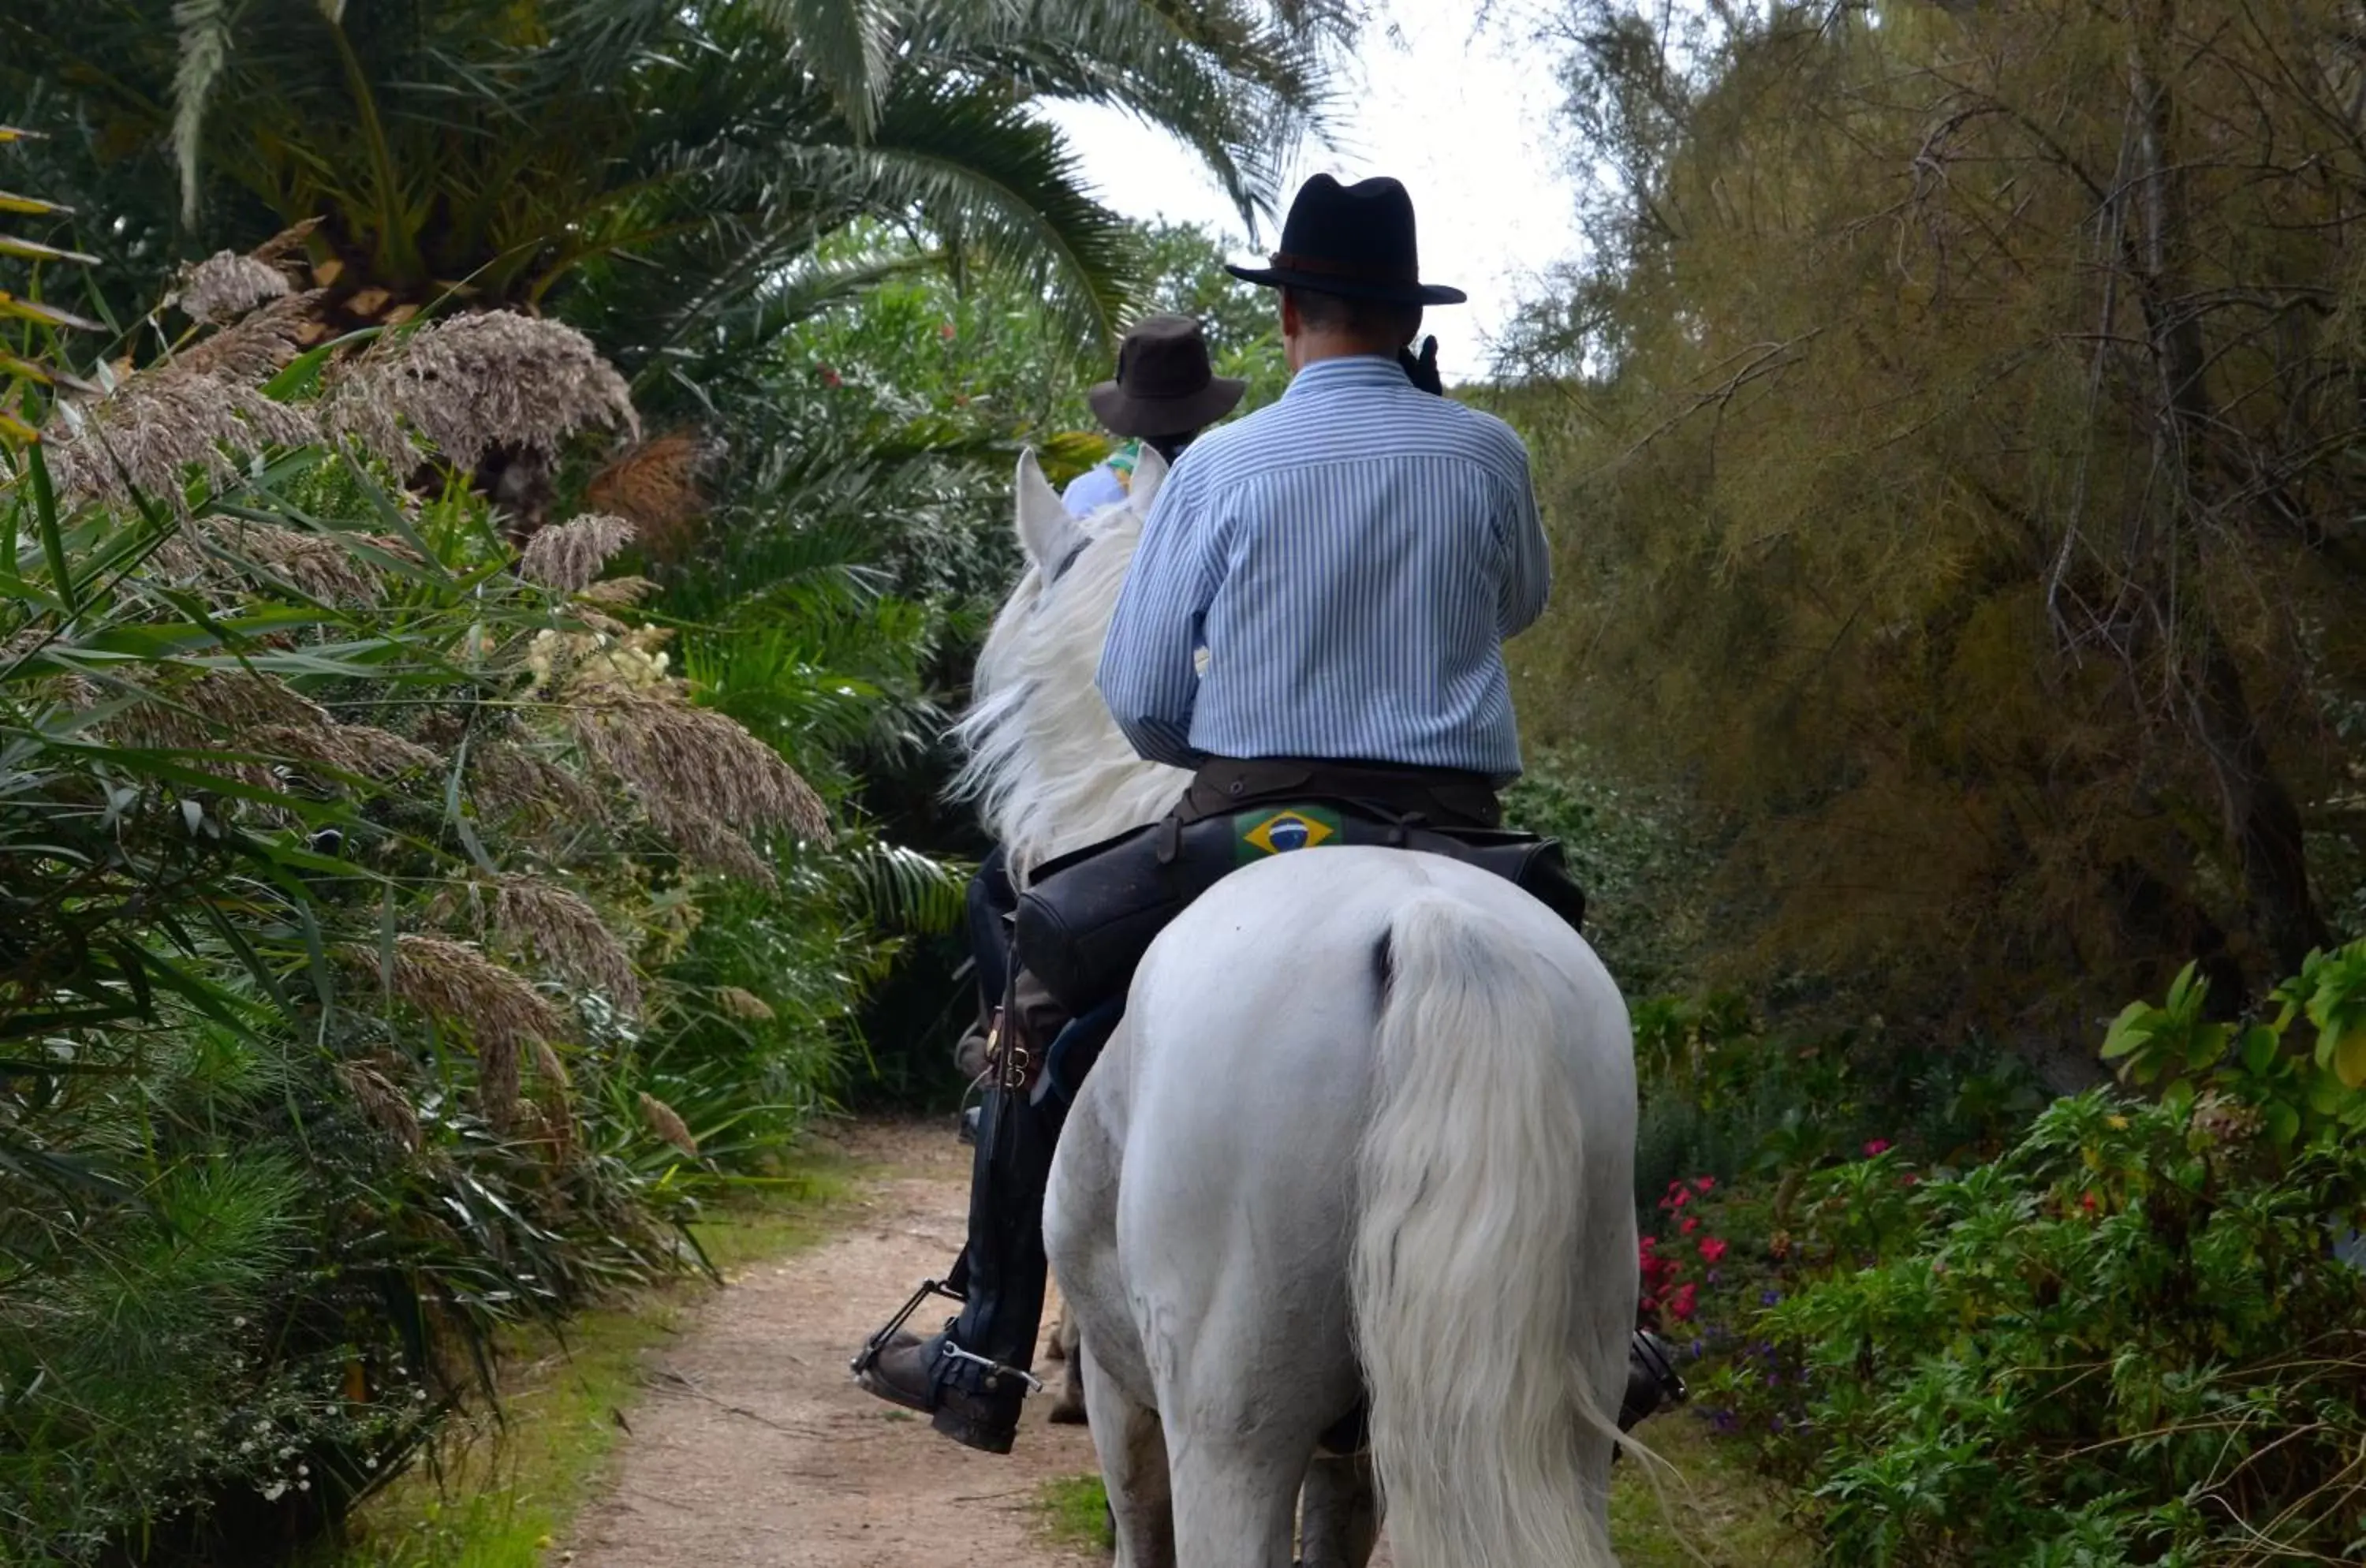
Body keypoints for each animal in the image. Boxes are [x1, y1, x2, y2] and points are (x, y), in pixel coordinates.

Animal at [951, 446, 1637, 1561]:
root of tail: (1426, 924)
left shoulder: (1127, 1391)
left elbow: (1137, 1522)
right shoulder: (1355, 1447)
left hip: (1234, 1423)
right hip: (1568, 1404)